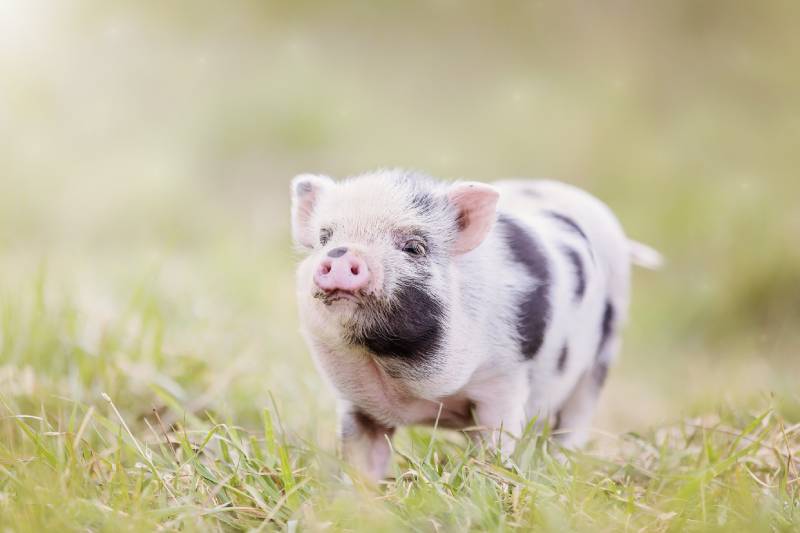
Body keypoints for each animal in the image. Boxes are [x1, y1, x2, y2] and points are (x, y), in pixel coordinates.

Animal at [291, 169, 661, 481]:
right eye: (325, 238)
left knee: (575, 421)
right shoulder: (357, 402)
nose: (341, 255)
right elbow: (361, 459)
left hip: (602, 356)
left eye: (414, 247)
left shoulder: (504, 380)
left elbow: (497, 441)